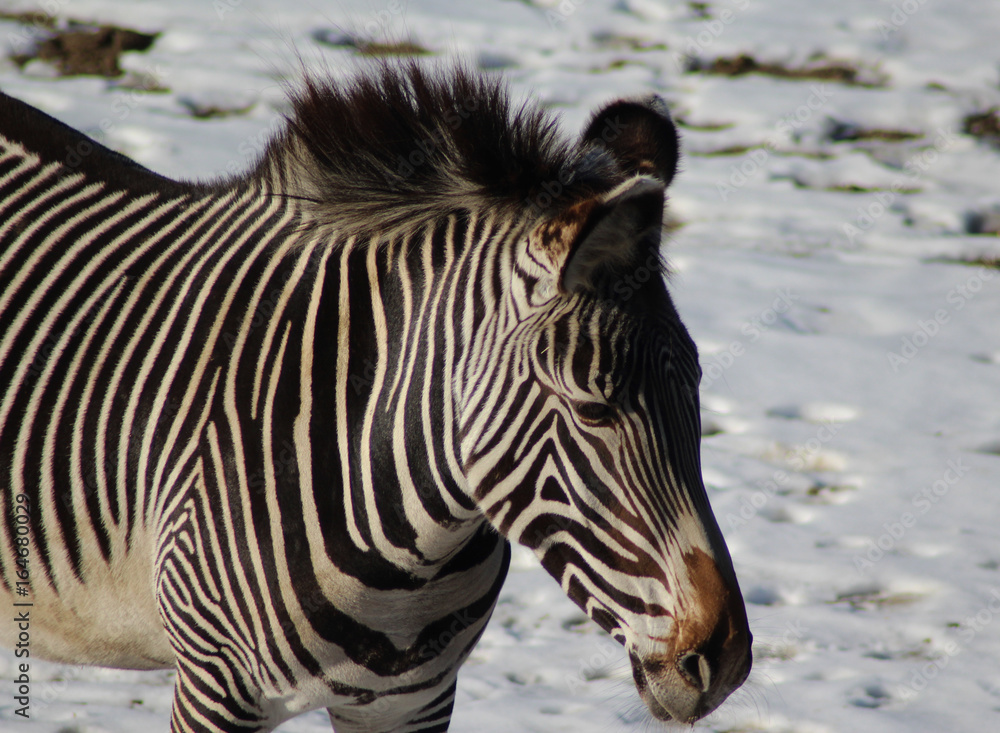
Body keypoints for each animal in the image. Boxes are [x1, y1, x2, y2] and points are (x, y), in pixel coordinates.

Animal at [0, 63, 751, 731]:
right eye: (593, 409)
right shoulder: (215, 688)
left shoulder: (412, 702)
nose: (725, 659)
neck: (406, 570)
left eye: (696, 390)